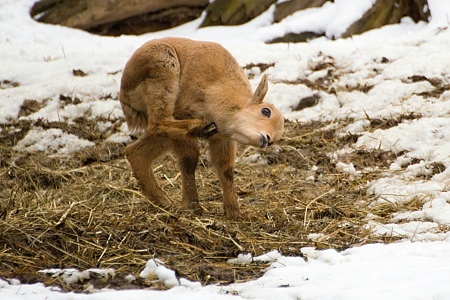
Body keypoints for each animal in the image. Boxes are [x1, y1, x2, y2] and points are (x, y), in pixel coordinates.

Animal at [118, 37, 284, 218]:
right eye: (265, 111)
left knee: (136, 151)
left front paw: (234, 213)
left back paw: (164, 201)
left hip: (162, 136)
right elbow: (189, 161)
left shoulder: (223, 139)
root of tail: (123, 91)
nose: (267, 139)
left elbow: (226, 170)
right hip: (164, 73)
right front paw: (192, 206)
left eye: (274, 141)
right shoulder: (183, 116)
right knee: (158, 123)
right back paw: (201, 127)